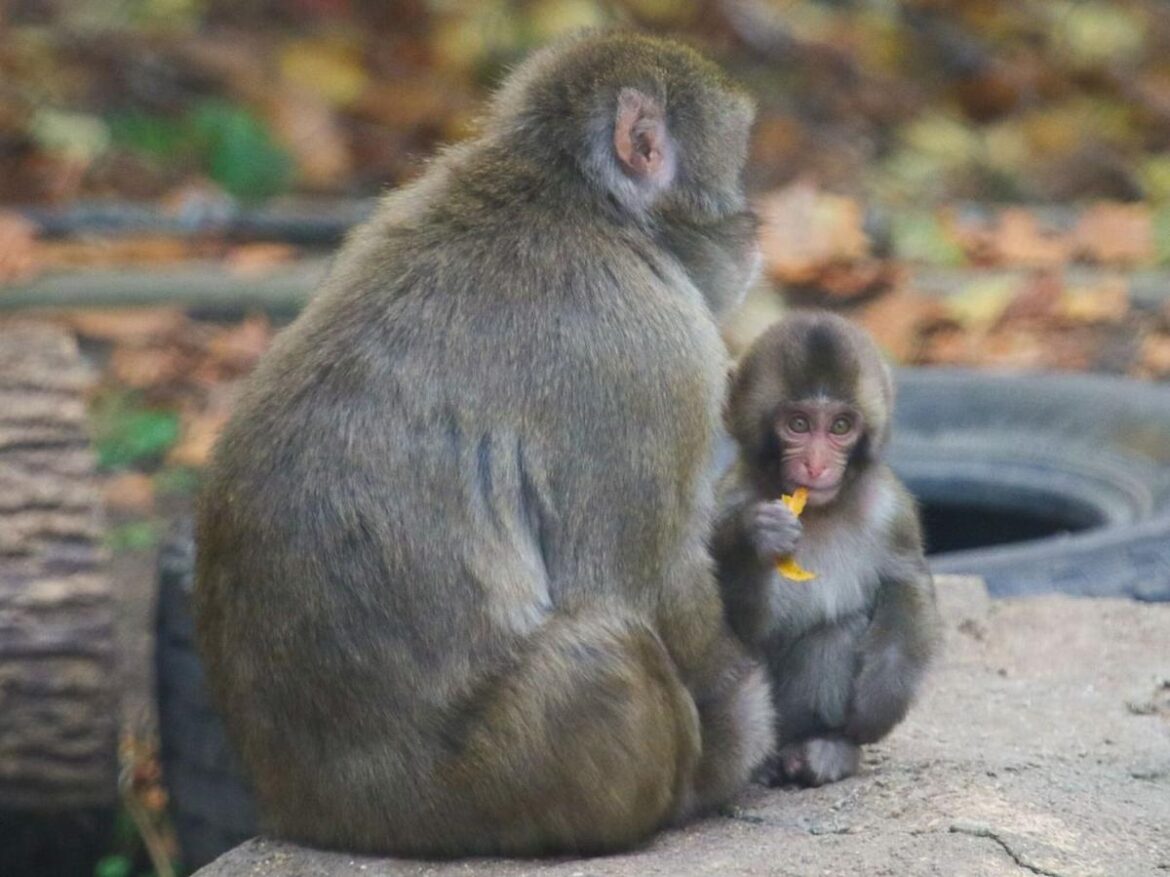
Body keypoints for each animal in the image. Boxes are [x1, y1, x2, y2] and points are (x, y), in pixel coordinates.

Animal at [194, 31, 773, 859]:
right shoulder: (651, 350)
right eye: (738, 158)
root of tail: (311, 810)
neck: (581, 199)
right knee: (603, 652)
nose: (756, 224)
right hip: (475, 793)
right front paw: (744, 721)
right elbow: (643, 587)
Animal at [711, 311, 940, 788]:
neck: (819, 510)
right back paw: (765, 764)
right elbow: (740, 628)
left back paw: (823, 749)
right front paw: (756, 542)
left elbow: (905, 583)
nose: (815, 465)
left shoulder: (889, 508)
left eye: (840, 427)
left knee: (839, 630)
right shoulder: (727, 502)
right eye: (798, 425)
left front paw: (882, 698)